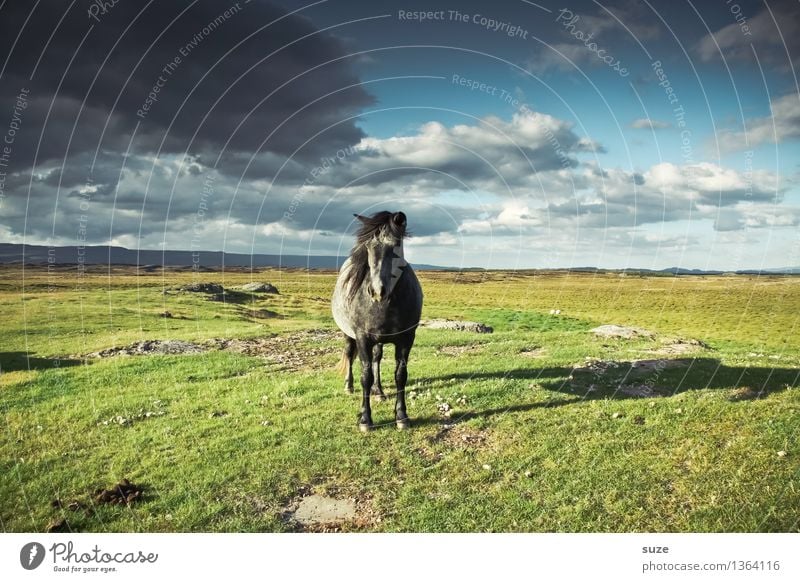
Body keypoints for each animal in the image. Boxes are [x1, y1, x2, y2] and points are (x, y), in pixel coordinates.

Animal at [330, 212, 422, 432]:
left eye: (396, 245)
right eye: (368, 247)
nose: (377, 291)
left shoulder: (407, 338)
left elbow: (400, 375)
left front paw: (401, 416)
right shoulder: (363, 338)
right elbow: (366, 376)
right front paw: (365, 419)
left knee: (377, 359)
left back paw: (378, 391)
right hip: (349, 335)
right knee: (350, 355)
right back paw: (349, 386)